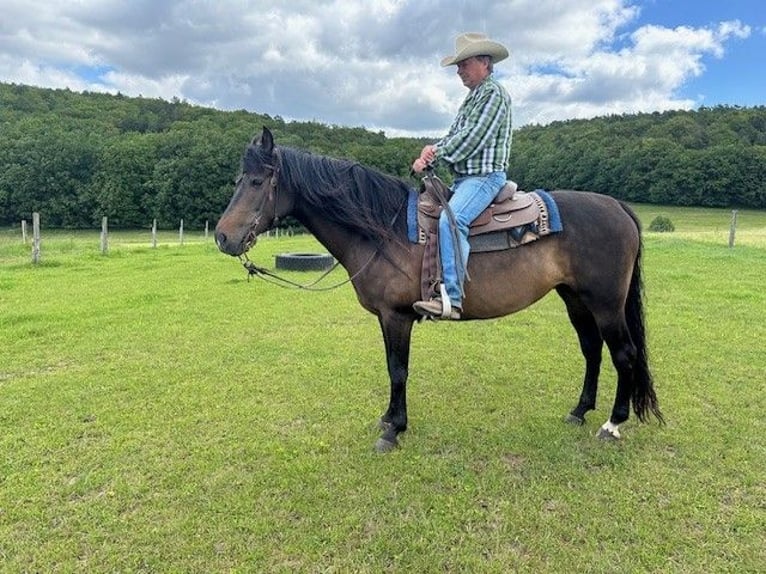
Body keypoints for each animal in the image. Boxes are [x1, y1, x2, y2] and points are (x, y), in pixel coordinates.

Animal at [215, 127, 663, 452]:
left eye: (256, 181)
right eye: (237, 179)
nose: (222, 237)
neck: (382, 231)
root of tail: (618, 207)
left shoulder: (397, 317)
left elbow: (398, 370)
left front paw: (393, 430)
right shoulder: (386, 318)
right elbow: (392, 368)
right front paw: (389, 419)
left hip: (606, 303)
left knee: (624, 354)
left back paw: (612, 423)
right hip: (575, 299)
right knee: (592, 350)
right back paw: (579, 410)